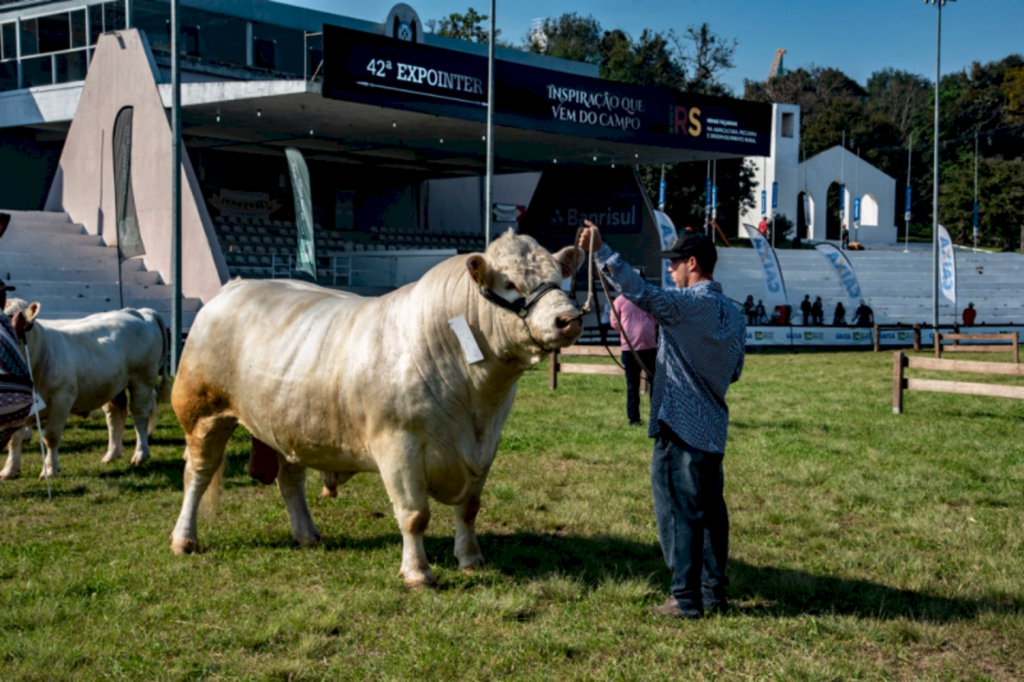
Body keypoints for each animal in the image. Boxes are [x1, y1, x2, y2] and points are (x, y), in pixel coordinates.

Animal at [3, 296, 171, 477]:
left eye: (24, 323)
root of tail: (137, 312)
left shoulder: (62, 400)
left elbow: (51, 437)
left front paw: (50, 469)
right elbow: (14, 439)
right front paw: (9, 470)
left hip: (142, 380)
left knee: (139, 415)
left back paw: (140, 454)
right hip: (112, 386)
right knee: (115, 416)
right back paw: (112, 454)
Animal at [169, 231, 585, 585]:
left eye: (560, 280)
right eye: (510, 283)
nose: (569, 319)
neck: (475, 401)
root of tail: (237, 284)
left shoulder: (485, 448)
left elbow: (469, 507)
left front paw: (471, 560)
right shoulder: (398, 445)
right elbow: (415, 515)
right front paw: (418, 573)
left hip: (289, 422)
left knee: (290, 481)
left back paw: (308, 535)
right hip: (202, 414)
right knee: (197, 475)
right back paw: (184, 540)